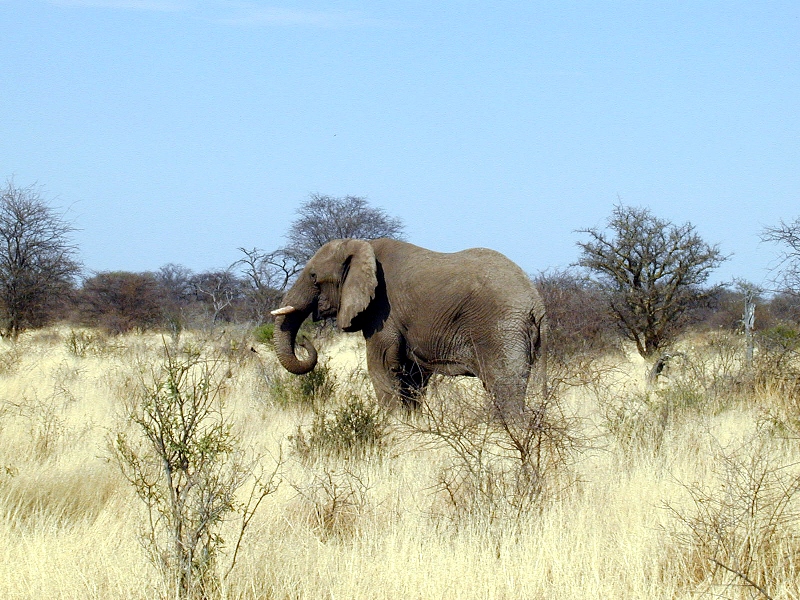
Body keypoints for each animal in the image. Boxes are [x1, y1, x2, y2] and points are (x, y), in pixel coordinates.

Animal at [272, 237, 548, 414]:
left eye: (313, 276)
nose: (304, 341)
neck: (363, 245)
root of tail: (537, 304)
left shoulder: (384, 312)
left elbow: (381, 366)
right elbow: (412, 376)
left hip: (501, 329)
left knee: (504, 390)